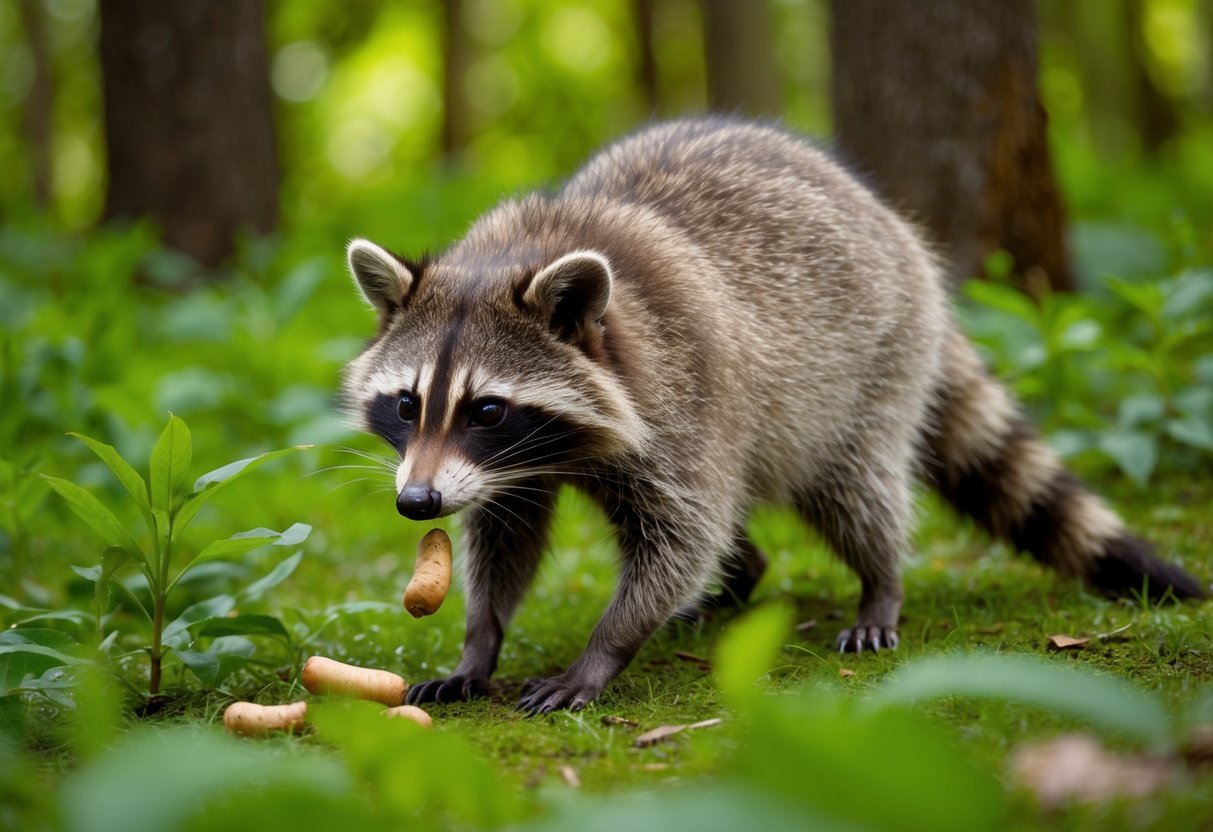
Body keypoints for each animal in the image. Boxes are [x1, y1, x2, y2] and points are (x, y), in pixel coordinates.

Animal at [341, 117, 1204, 714]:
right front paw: (479, 642)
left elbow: (682, 535)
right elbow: (508, 538)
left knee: (848, 489)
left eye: (486, 408)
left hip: (868, 364)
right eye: (408, 404)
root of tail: (888, 222)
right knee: (730, 518)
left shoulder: (679, 393)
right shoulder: (509, 470)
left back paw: (879, 581)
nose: (415, 502)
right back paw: (739, 578)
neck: (520, 250)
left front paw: (604, 647)